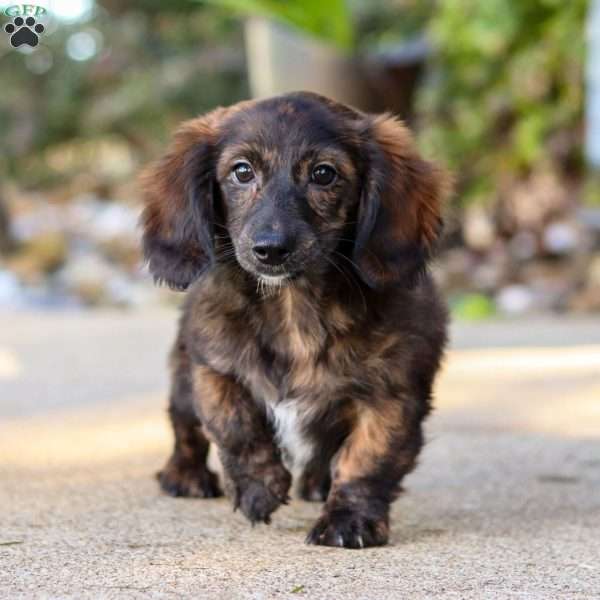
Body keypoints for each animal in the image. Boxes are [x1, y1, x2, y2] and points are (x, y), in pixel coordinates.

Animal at [142, 92, 450, 548]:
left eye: (324, 174)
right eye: (242, 171)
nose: (271, 249)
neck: (293, 307)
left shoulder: (391, 395)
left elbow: (367, 458)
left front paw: (349, 520)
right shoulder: (213, 366)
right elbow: (235, 425)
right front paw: (258, 489)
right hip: (183, 379)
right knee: (185, 428)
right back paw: (185, 475)